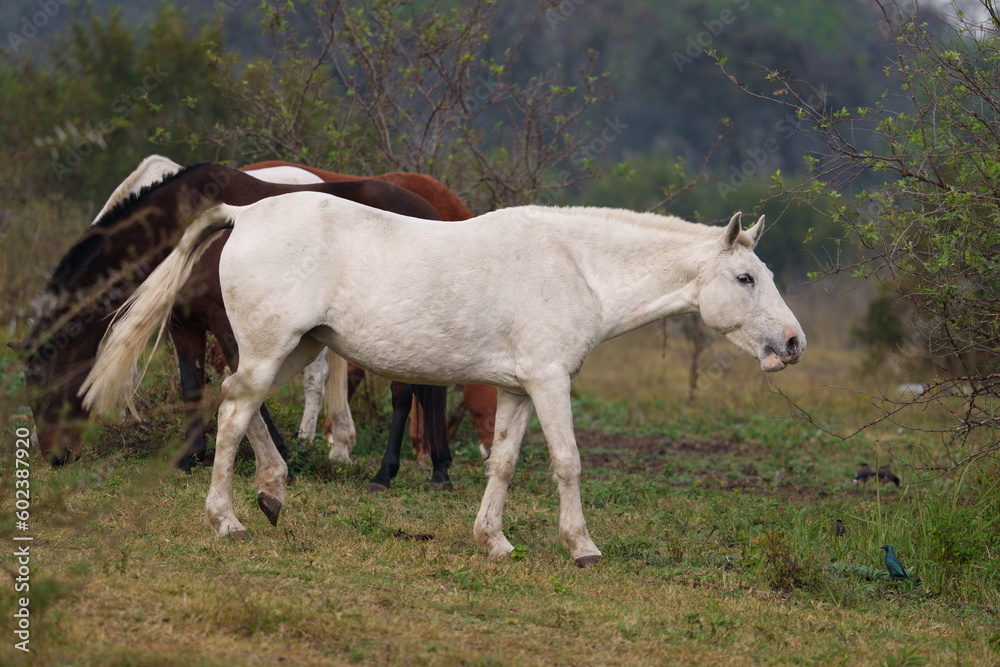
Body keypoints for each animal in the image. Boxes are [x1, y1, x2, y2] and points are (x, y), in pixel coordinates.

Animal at [84, 194, 804, 568]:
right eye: (746, 278)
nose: (793, 343)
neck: (575, 266)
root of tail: (246, 212)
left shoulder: (516, 387)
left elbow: (504, 463)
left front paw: (494, 540)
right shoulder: (548, 380)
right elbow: (567, 461)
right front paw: (582, 545)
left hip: (291, 348)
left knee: (239, 404)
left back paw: (271, 494)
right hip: (272, 348)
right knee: (234, 412)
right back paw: (228, 519)